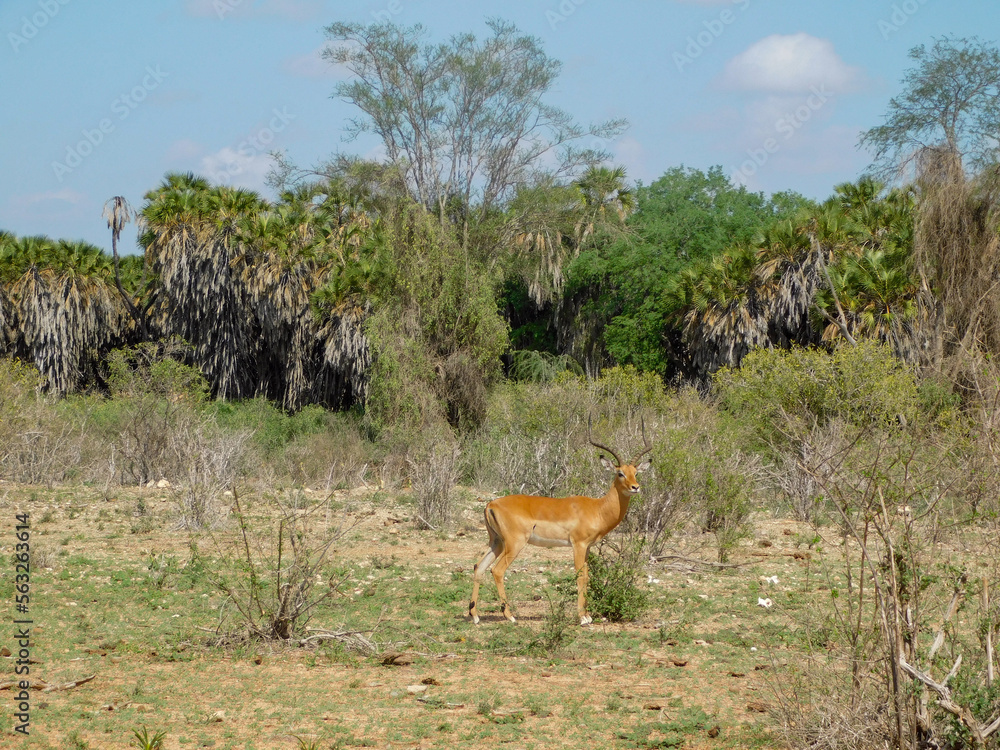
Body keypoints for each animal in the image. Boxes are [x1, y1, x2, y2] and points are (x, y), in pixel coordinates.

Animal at [469, 417, 652, 626]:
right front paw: (582, 618)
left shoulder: (587, 547)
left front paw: (587, 615)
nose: (635, 487)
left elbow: (587, 576)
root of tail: (491, 504)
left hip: (496, 542)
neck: (597, 508)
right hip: (514, 544)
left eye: (636, 472)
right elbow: (580, 576)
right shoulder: (578, 545)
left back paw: (475, 615)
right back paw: (510, 616)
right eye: (620, 473)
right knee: (497, 570)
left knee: (479, 567)